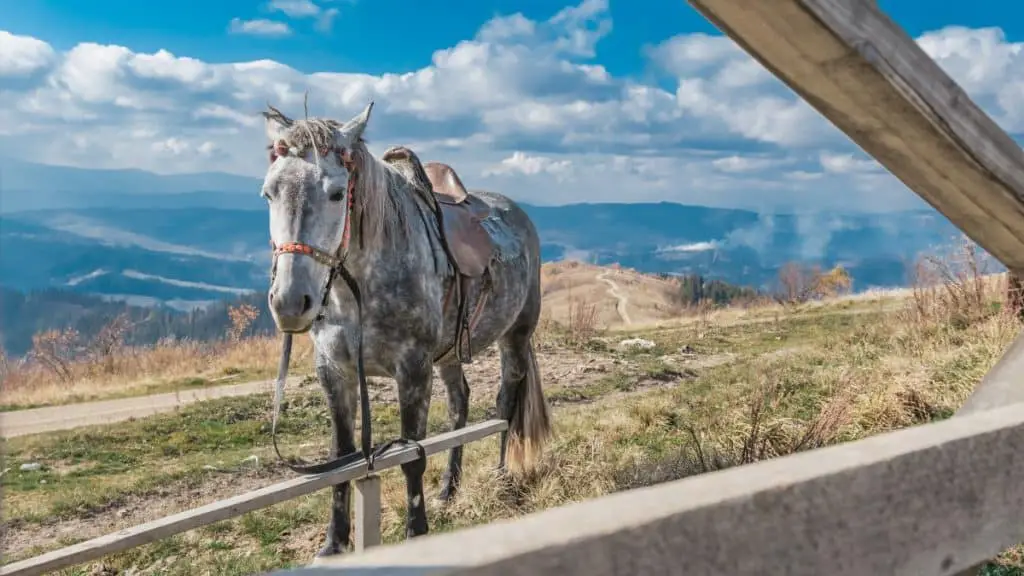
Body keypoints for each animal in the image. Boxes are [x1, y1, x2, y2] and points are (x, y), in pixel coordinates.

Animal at [260, 100, 557, 553]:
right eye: (269, 193)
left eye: (336, 193)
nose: (291, 303)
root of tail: (518, 214)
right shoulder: (334, 372)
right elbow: (341, 458)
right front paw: (334, 543)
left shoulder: (413, 372)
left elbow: (411, 457)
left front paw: (416, 531)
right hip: (451, 353)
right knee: (459, 405)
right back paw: (450, 487)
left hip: (516, 337)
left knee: (506, 405)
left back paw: (502, 474)